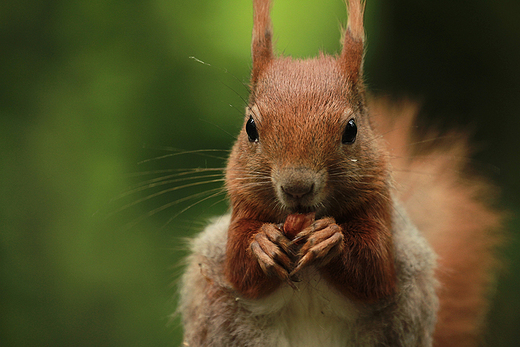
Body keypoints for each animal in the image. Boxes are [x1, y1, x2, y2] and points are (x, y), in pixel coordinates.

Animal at [179, 1, 504, 346]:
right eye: (250, 128)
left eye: (351, 130)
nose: (297, 187)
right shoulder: (241, 204)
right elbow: (239, 270)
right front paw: (263, 242)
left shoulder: (380, 210)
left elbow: (374, 271)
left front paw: (330, 238)